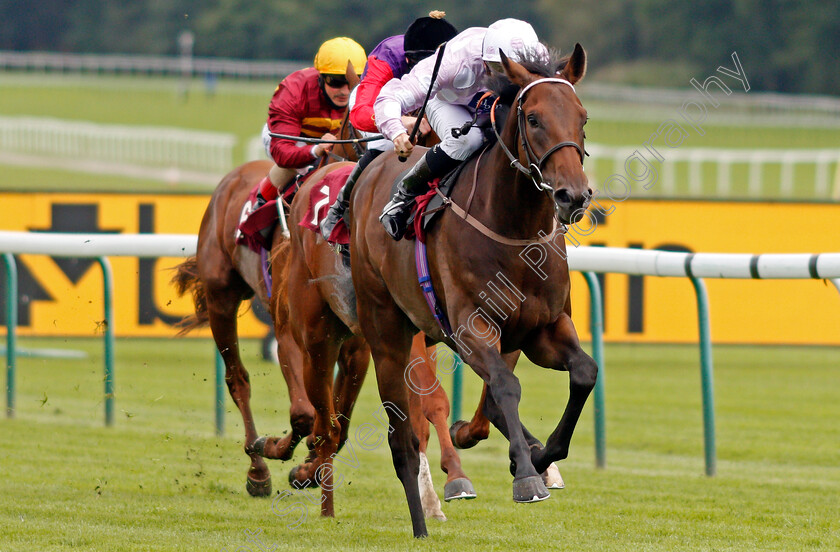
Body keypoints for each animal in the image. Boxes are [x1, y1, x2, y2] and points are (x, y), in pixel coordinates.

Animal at [348, 45, 596, 536]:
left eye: (582, 117)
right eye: (534, 118)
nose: (573, 196)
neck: (515, 229)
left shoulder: (544, 329)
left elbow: (583, 373)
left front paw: (539, 458)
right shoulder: (470, 328)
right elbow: (505, 386)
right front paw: (525, 476)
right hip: (386, 335)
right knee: (402, 440)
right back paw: (422, 522)